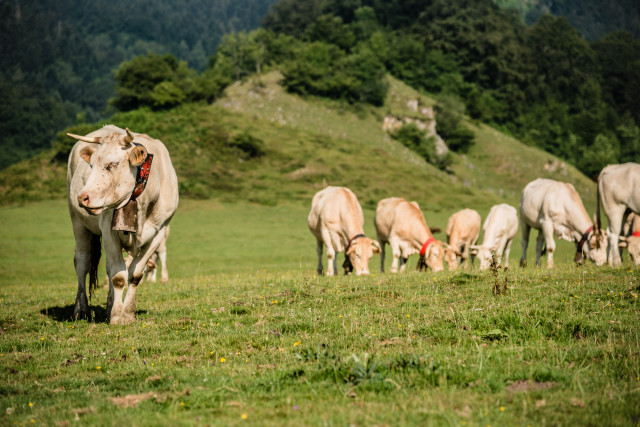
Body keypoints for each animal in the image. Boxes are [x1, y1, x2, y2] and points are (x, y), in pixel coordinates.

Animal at [67, 125, 179, 326]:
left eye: (112, 164)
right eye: (91, 165)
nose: (83, 197)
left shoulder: (159, 233)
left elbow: (134, 275)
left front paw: (126, 313)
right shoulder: (108, 230)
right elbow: (119, 277)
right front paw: (118, 317)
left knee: (109, 267)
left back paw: (110, 306)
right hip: (78, 223)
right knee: (82, 262)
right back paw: (81, 310)